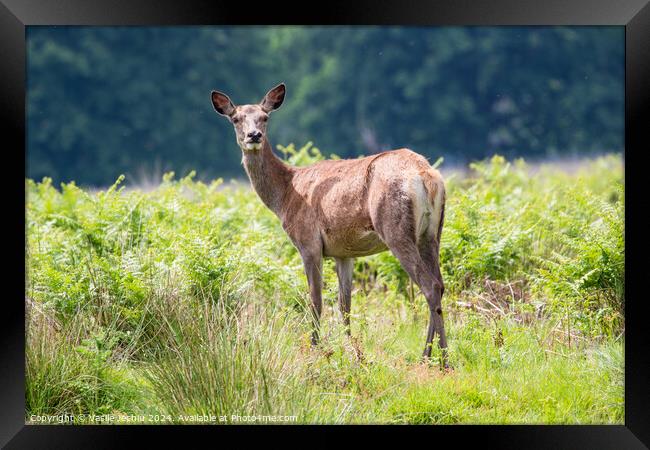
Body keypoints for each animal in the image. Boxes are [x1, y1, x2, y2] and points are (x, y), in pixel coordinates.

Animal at [210, 84, 448, 370]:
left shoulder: (308, 242)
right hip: (432, 232)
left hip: (395, 229)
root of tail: (426, 176)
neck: (285, 195)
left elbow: (316, 301)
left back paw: (436, 358)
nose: (253, 135)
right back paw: (436, 355)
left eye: (264, 118)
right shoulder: (343, 252)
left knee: (429, 285)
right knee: (440, 283)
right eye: (236, 119)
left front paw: (315, 350)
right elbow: (345, 305)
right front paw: (354, 352)